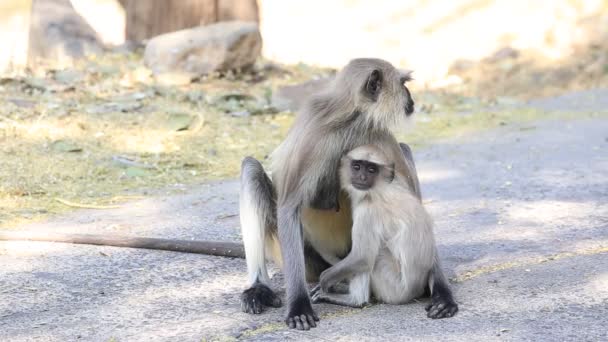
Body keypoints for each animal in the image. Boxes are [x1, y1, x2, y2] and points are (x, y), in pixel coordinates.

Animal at [312, 144, 458, 318]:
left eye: (371, 170)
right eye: (357, 167)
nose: (362, 177)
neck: (378, 189)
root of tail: (415, 290)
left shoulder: (367, 211)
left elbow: (362, 258)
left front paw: (324, 281)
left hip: (394, 287)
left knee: (371, 258)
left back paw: (354, 301)